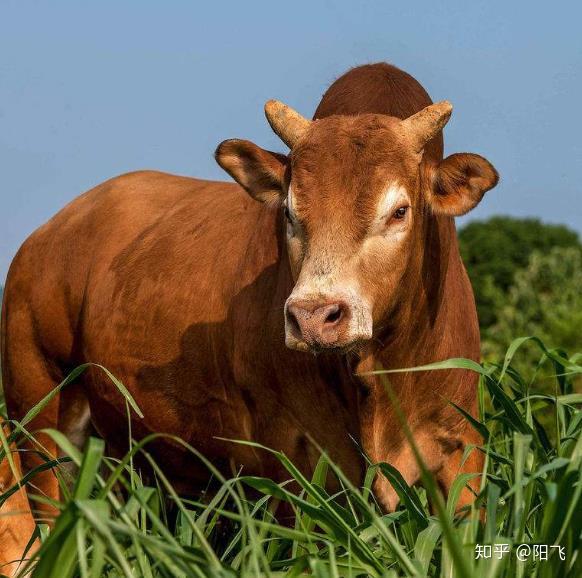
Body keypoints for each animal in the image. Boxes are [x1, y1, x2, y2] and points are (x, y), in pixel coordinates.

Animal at [1, 62, 498, 516]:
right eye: (289, 213)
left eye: (399, 211)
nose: (314, 318)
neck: (381, 372)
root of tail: (44, 237)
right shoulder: (293, 462)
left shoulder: (461, 450)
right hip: (38, 416)